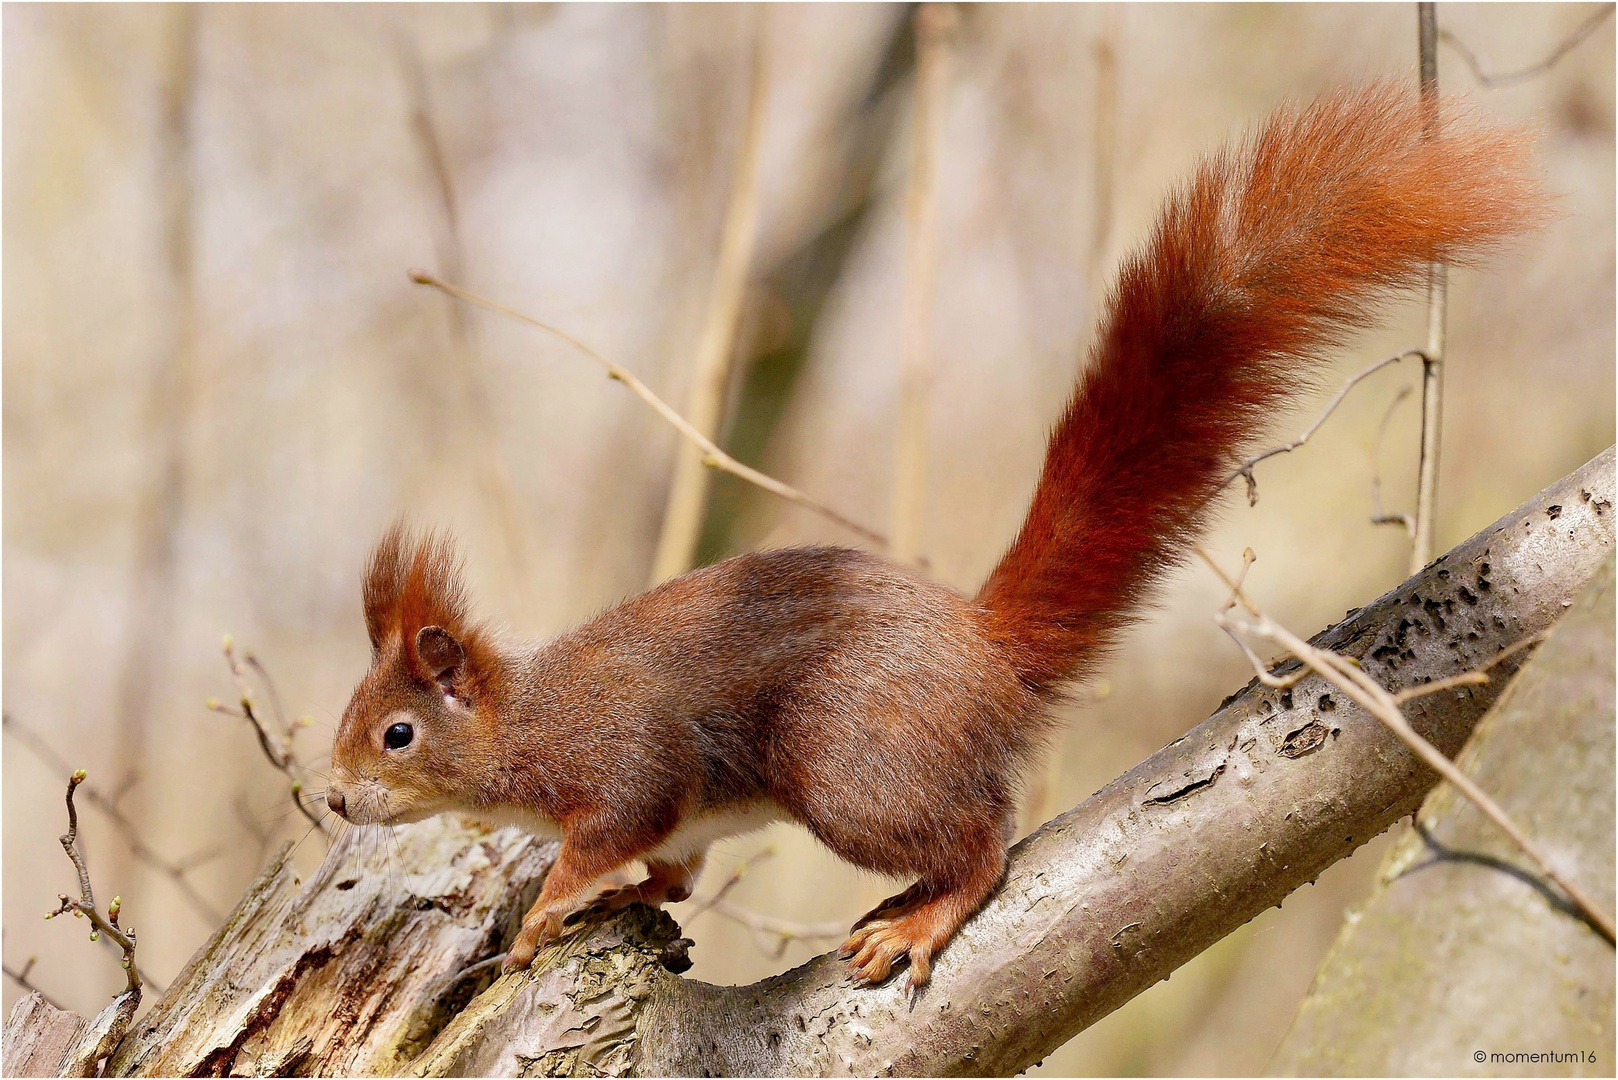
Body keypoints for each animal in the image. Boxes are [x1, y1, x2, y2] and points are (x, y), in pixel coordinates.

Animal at [321, 84, 1533, 990]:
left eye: (396, 735)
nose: (332, 798)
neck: (520, 727)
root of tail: (983, 653)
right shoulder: (682, 829)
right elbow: (667, 878)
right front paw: (611, 904)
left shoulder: (619, 765)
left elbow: (607, 833)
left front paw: (542, 913)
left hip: (848, 770)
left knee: (982, 841)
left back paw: (920, 914)